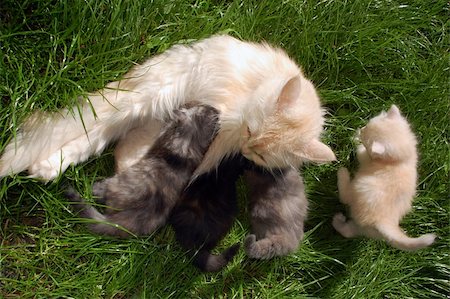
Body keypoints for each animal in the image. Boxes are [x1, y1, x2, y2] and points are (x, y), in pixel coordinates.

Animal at [0, 35, 336, 180]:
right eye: (251, 131)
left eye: (261, 155)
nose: (246, 147)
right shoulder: (224, 106)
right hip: (145, 97)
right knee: (90, 128)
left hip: (139, 122)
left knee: (110, 146)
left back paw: (49, 167)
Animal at [66, 103, 219, 239]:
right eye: (206, 108)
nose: (214, 108)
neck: (189, 142)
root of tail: (123, 221)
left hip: (113, 183)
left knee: (100, 191)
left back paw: (93, 188)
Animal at [334, 105, 436, 251]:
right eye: (367, 125)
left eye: (367, 139)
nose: (362, 129)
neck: (401, 160)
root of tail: (385, 221)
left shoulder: (366, 157)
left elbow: (360, 150)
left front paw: (355, 137)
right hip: (365, 228)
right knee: (349, 231)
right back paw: (338, 220)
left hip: (359, 188)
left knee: (345, 197)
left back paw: (342, 173)